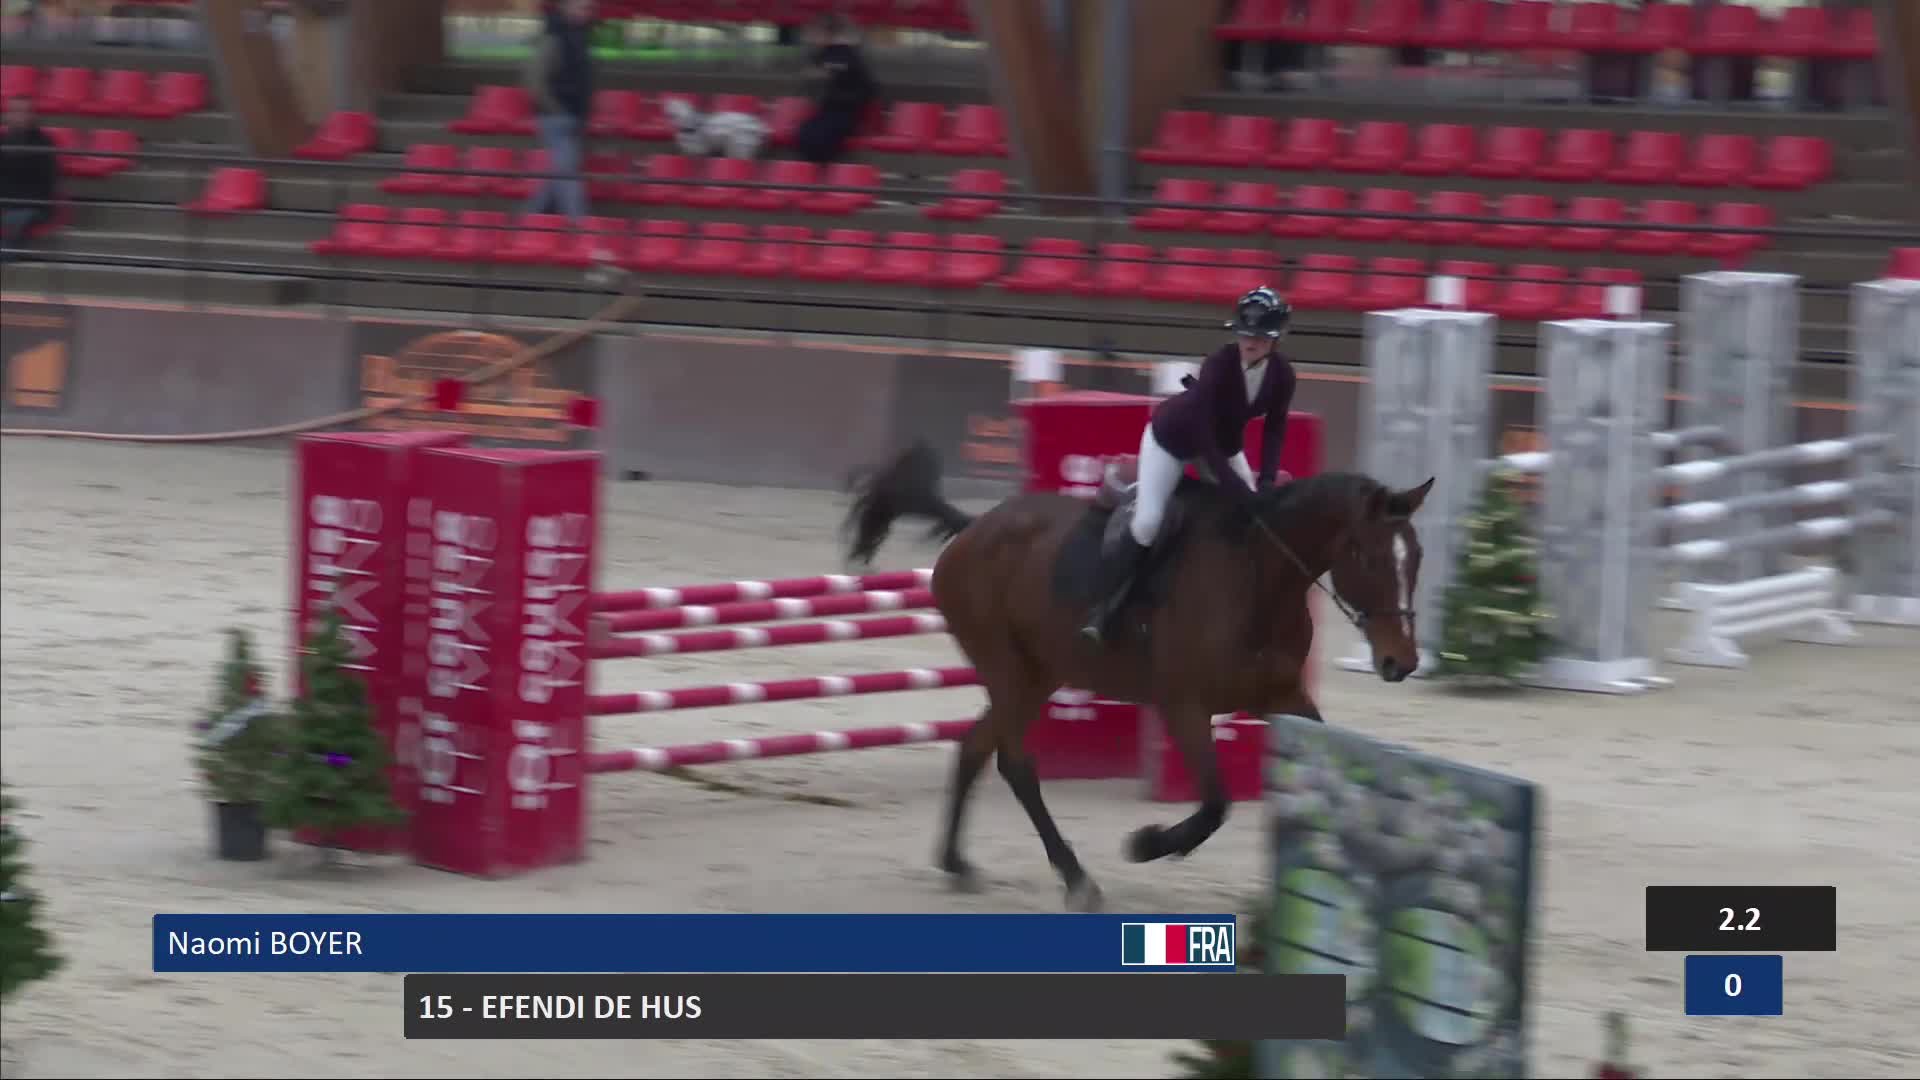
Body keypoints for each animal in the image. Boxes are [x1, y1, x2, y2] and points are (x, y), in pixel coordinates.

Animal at [840, 439, 1435, 911]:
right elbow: (1215, 804)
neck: (1258, 582)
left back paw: (957, 862)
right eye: (1369, 557)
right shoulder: (1184, 705)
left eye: (1418, 557)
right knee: (1013, 761)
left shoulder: (1285, 698)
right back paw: (1076, 880)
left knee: (975, 749)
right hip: (1009, 670)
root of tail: (972, 530)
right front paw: (1147, 844)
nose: (1400, 662)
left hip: (1038, 673)